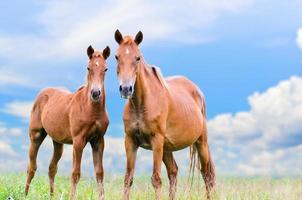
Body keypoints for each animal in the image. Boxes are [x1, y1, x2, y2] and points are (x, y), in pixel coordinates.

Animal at [24, 45, 109, 200]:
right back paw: (25, 194)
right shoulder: (78, 141)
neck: (91, 109)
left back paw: (51, 196)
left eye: (105, 69)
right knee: (31, 167)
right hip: (36, 136)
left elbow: (99, 173)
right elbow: (76, 173)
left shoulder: (98, 140)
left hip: (58, 142)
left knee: (52, 168)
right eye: (88, 68)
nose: (95, 93)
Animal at [114, 30, 216, 200]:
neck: (141, 104)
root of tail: (198, 91)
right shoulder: (130, 141)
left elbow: (156, 179)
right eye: (116, 56)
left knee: (207, 175)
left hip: (201, 143)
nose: (126, 89)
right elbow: (128, 178)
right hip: (167, 148)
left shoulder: (156, 140)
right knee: (174, 172)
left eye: (138, 57)